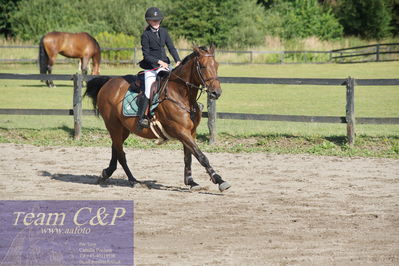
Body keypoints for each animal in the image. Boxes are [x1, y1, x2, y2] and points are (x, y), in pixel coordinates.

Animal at [86, 45, 233, 191]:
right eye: (202, 66)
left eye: (216, 65)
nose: (216, 92)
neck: (181, 95)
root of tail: (108, 82)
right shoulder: (181, 131)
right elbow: (201, 156)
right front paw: (219, 180)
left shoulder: (191, 132)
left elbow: (189, 156)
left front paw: (191, 182)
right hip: (114, 126)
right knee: (121, 154)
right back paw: (133, 181)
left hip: (123, 129)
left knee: (116, 148)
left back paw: (106, 173)